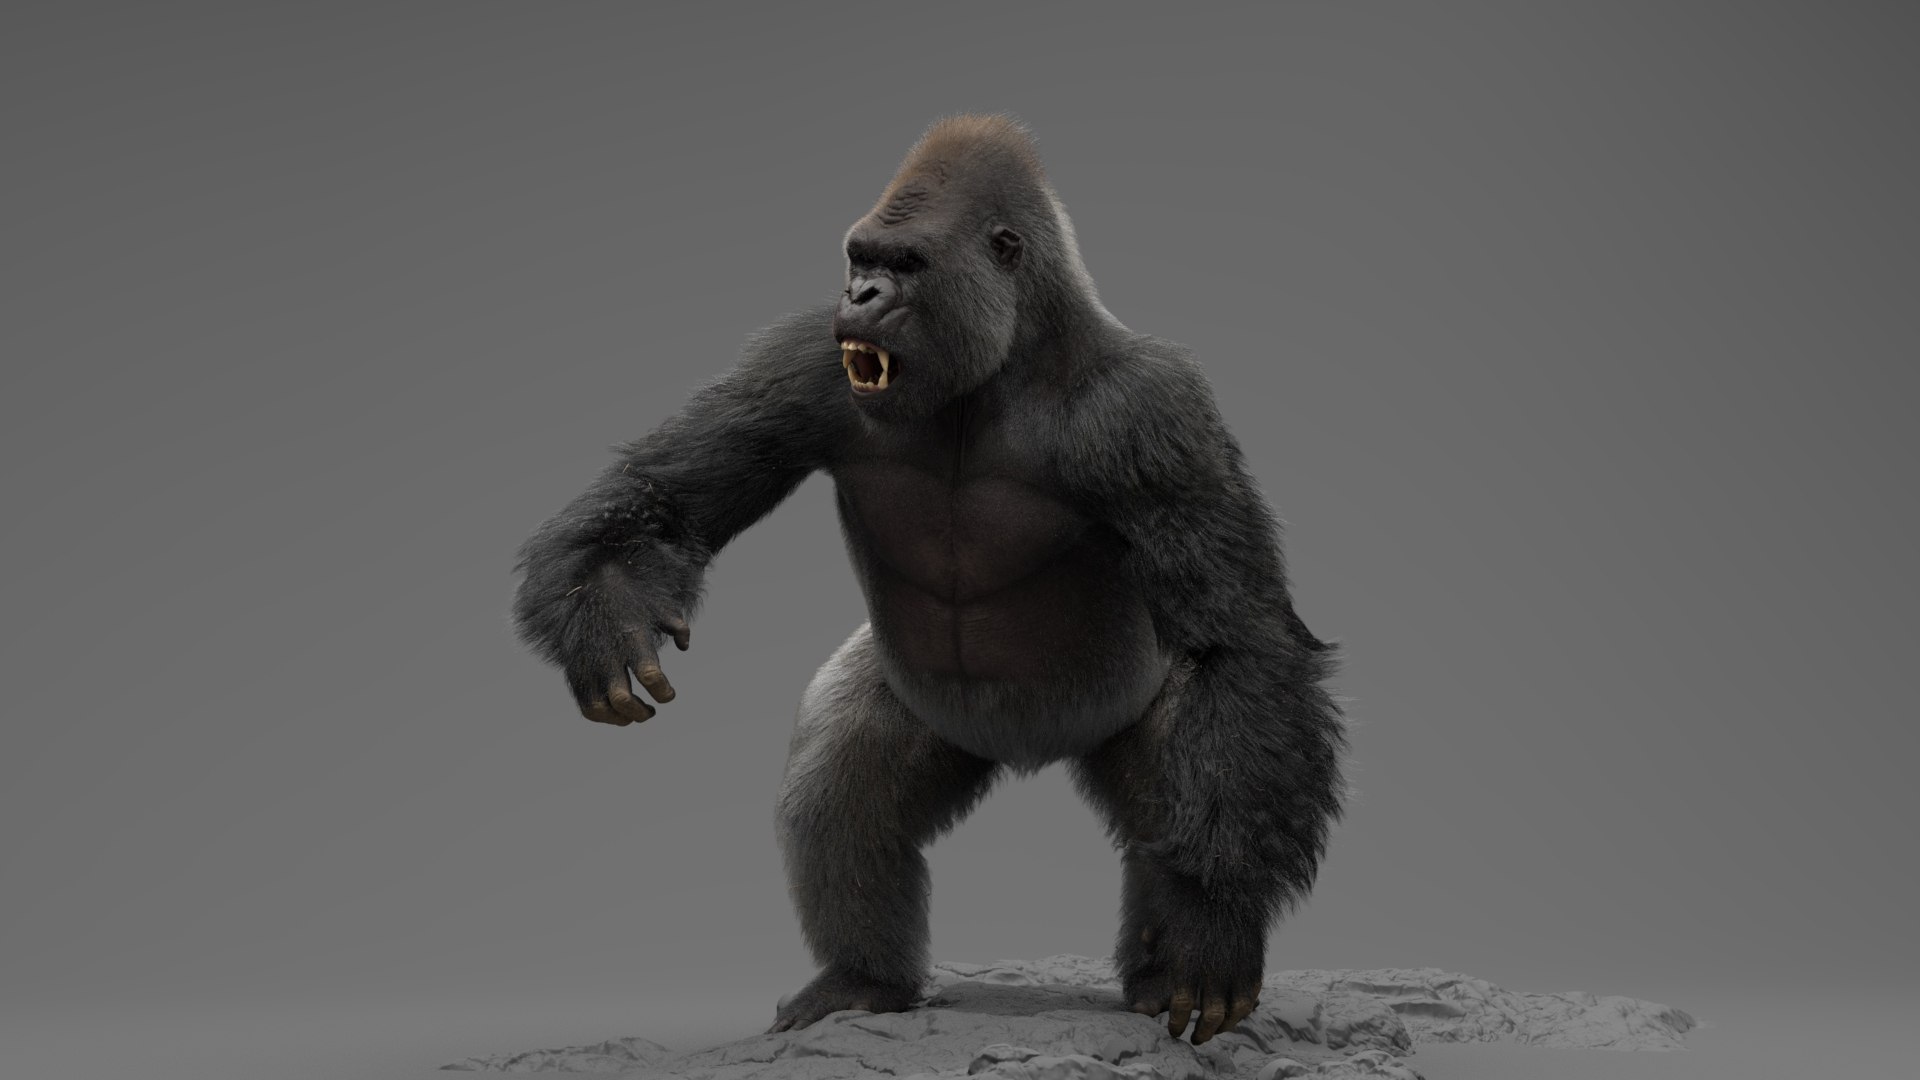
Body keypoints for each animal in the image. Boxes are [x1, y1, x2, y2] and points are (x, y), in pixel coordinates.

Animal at [510, 115, 1346, 1046]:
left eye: (905, 264)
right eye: (860, 258)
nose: (864, 296)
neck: (1009, 358)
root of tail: (1029, 753)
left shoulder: (1153, 411)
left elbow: (1238, 642)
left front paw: (1211, 928)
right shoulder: (802, 360)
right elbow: (664, 501)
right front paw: (605, 614)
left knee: (1186, 785)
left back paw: (1173, 961)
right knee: (838, 799)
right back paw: (863, 979)